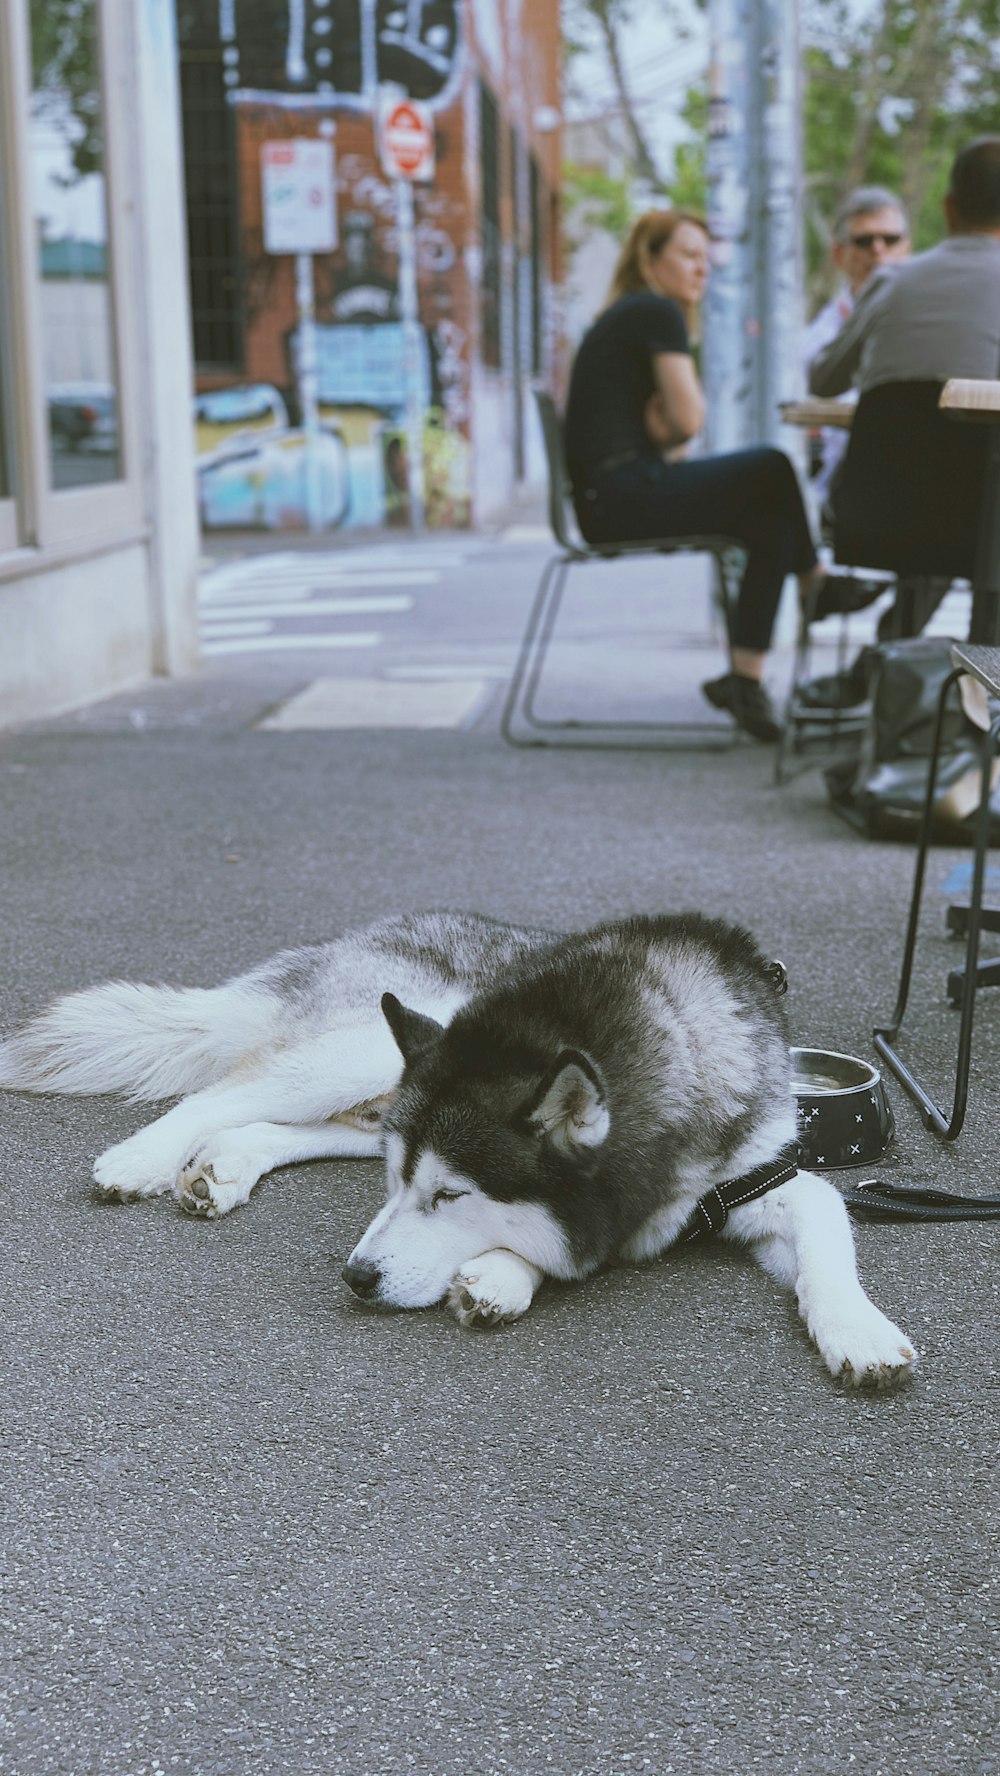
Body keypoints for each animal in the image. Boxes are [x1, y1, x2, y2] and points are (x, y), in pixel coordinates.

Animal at [0, 916, 916, 1385]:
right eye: (421, 1193)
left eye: (448, 1196)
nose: (356, 1277)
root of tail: (356, 932)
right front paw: (504, 1275)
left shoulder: (767, 1175)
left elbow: (828, 1233)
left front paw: (858, 1330)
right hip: (364, 1049)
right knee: (221, 1092)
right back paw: (141, 1161)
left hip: (384, 1086)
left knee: (279, 1124)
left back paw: (224, 1168)